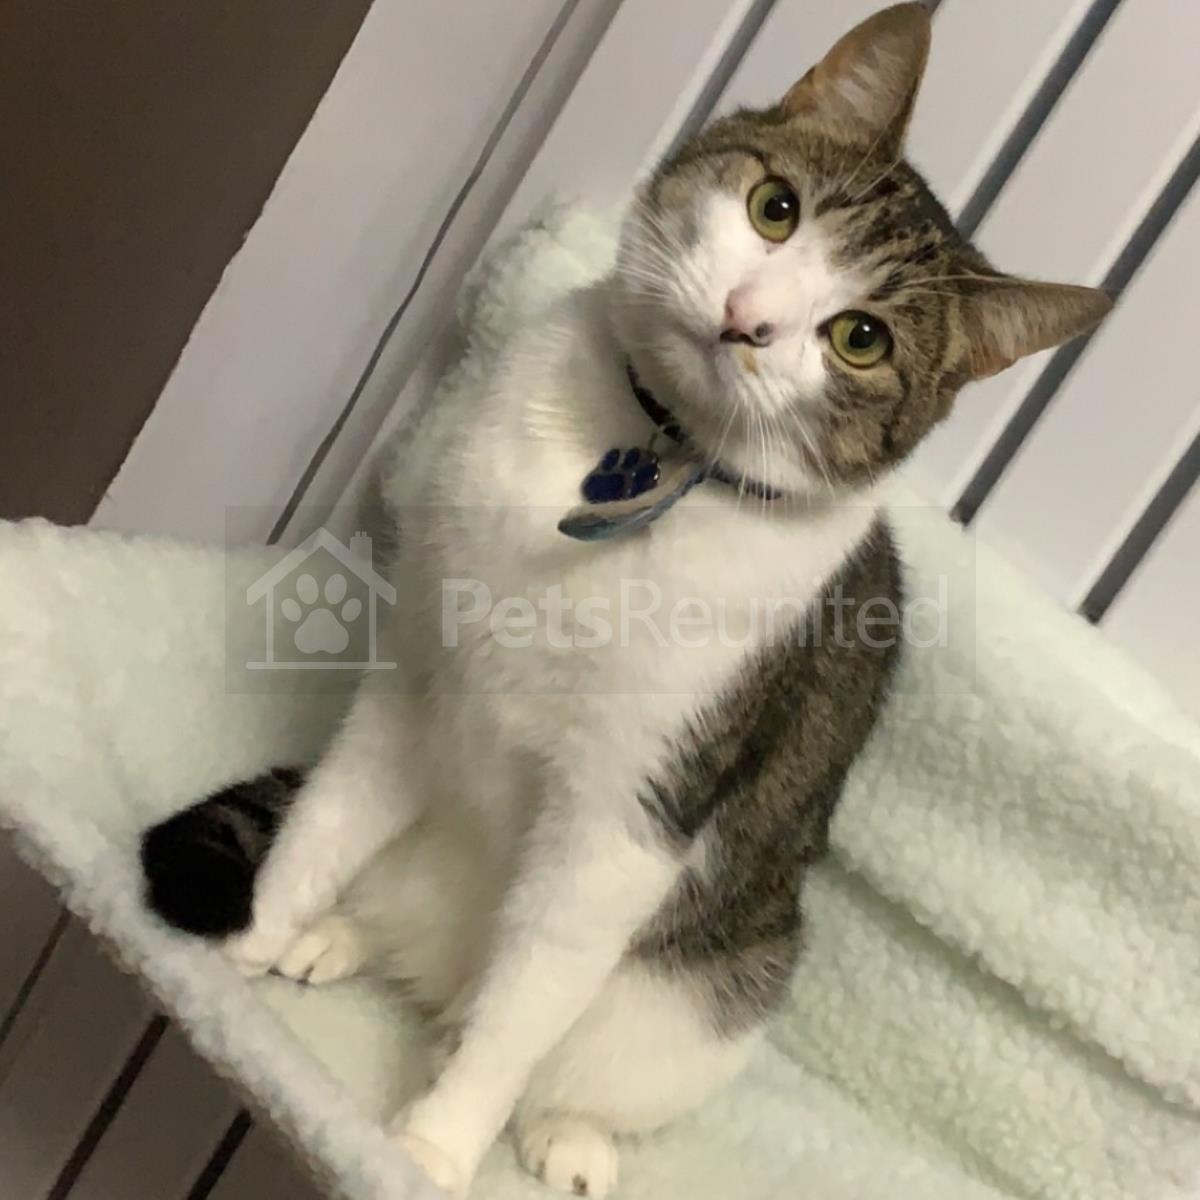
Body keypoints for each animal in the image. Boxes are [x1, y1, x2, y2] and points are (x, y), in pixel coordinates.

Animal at [141, 5, 1110, 1196]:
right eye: (775, 207)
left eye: (861, 338)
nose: (748, 319)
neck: (642, 452)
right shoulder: (414, 678)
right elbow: (326, 820)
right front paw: (248, 941)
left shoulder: (632, 816)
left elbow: (523, 1007)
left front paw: (427, 1146)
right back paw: (332, 939)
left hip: (712, 988)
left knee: (537, 1030)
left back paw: (562, 1131)